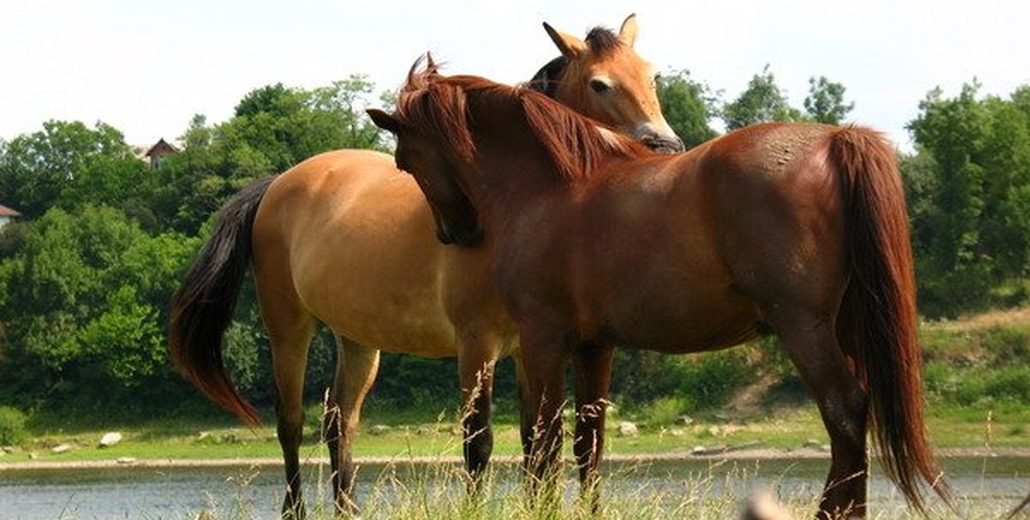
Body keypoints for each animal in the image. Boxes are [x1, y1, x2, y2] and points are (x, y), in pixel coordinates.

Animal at [169, 14, 683, 516]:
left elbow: (531, 438)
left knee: (339, 423)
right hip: (288, 327)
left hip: (357, 340)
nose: (666, 147)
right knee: (291, 424)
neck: (511, 200)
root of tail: (277, 184)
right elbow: (479, 440)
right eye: (600, 84)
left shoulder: (528, 345)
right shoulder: (477, 342)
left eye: (651, 75)